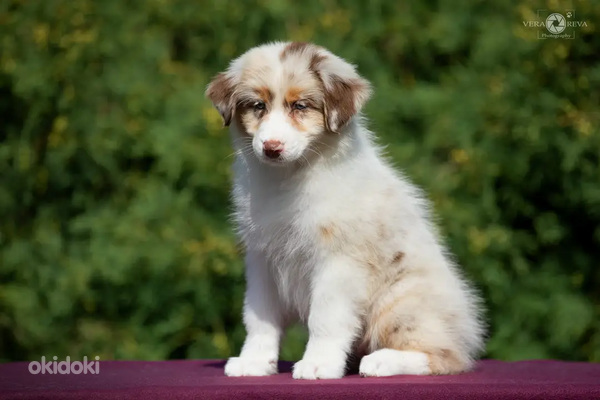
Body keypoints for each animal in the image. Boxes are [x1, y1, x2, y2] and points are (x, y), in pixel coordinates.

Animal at [205, 42, 482, 380]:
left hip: (401, 303)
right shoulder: (262, 259)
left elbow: (325, 318)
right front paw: (255, 362)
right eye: (258, 106)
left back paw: (380, 361)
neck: (288, 178)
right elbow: (260, 317)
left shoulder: (339, 261)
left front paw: (318, 364)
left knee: (446, 357)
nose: (271, 147)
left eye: (300, 106)